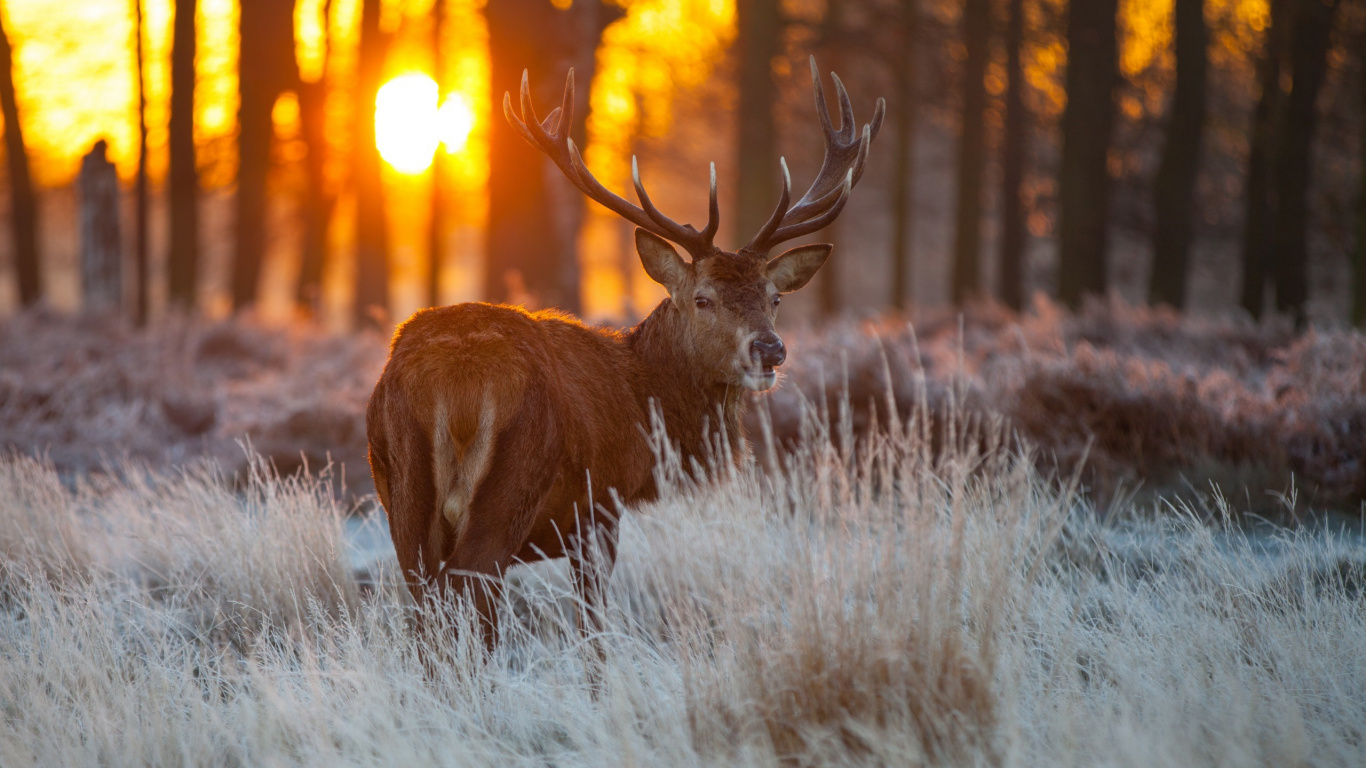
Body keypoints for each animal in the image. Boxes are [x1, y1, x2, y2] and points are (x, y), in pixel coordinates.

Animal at [366, 57, 884, 650]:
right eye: (703, 298)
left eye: (774, 297)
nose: (770, 349)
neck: (643, 404)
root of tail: (455, 380)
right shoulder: (600, 507)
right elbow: (593, 627)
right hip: (512, 482)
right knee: (469, 594)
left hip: (402, 490)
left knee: (426, 608)